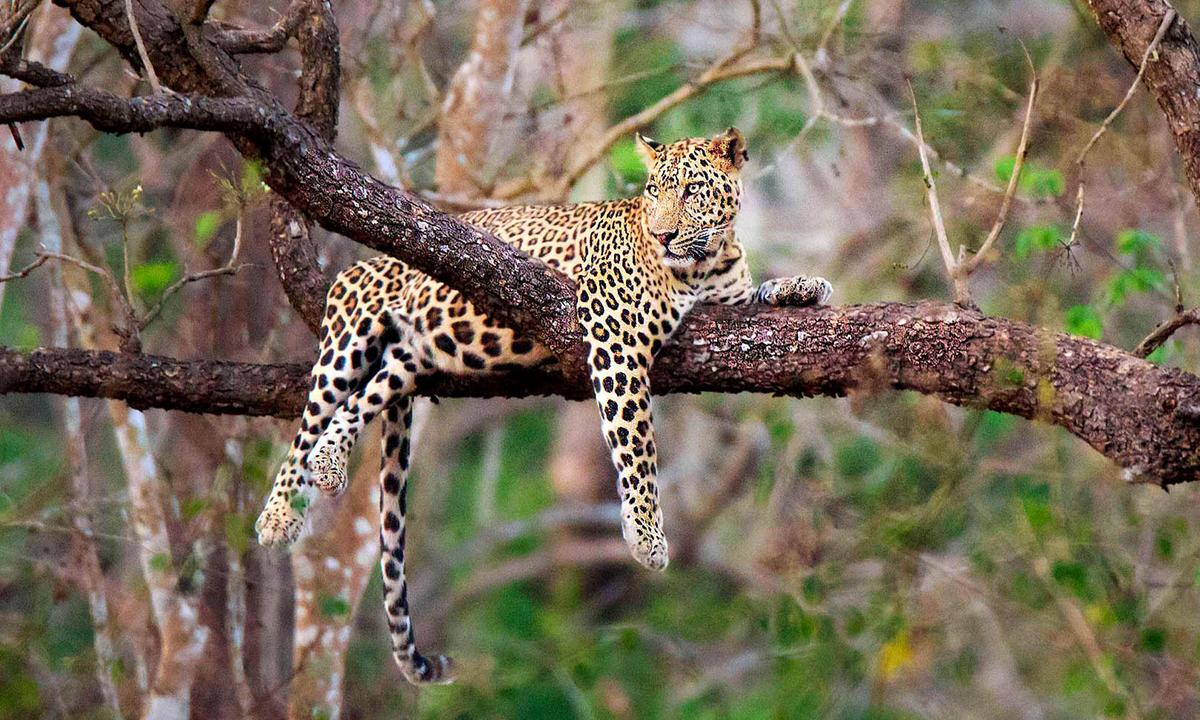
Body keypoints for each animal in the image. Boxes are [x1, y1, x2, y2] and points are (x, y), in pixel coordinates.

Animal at [254, 128, 833, 684]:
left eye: (692, 191)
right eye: (653, 191)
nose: (664, 235)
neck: (705, 264)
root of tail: (367, 263)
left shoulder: (726, 302)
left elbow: (759, 295)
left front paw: (804, 285)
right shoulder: (615, 334)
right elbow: (637, 443)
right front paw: (646, 535)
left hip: (409, 359)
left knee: (360, 400)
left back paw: (330, 463)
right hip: (349, 331)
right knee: (308, 422)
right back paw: (279, 516)